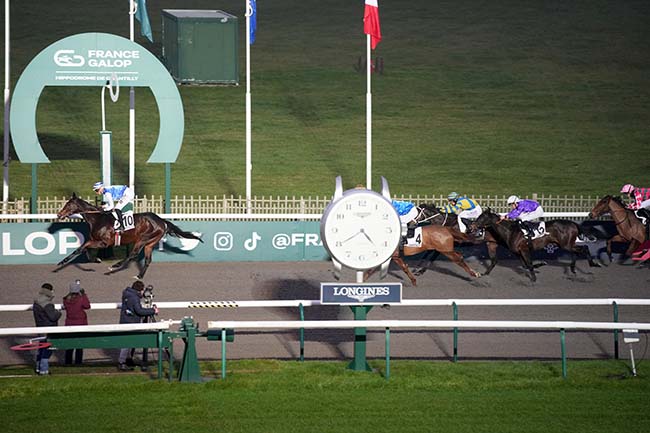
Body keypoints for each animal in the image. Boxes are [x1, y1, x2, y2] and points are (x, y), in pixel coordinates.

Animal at [55, 192, 202, 276]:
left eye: (69, 204)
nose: (59, 214)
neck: (97, 219)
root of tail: (161, 221)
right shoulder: (93, 240)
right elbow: (82, 249)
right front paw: (92, 260)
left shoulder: (104, 243)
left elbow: (82, 248)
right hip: (150, 243)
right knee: (147, 260)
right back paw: (139, 276)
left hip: (142, 239)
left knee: (133, 254)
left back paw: (114, 266)